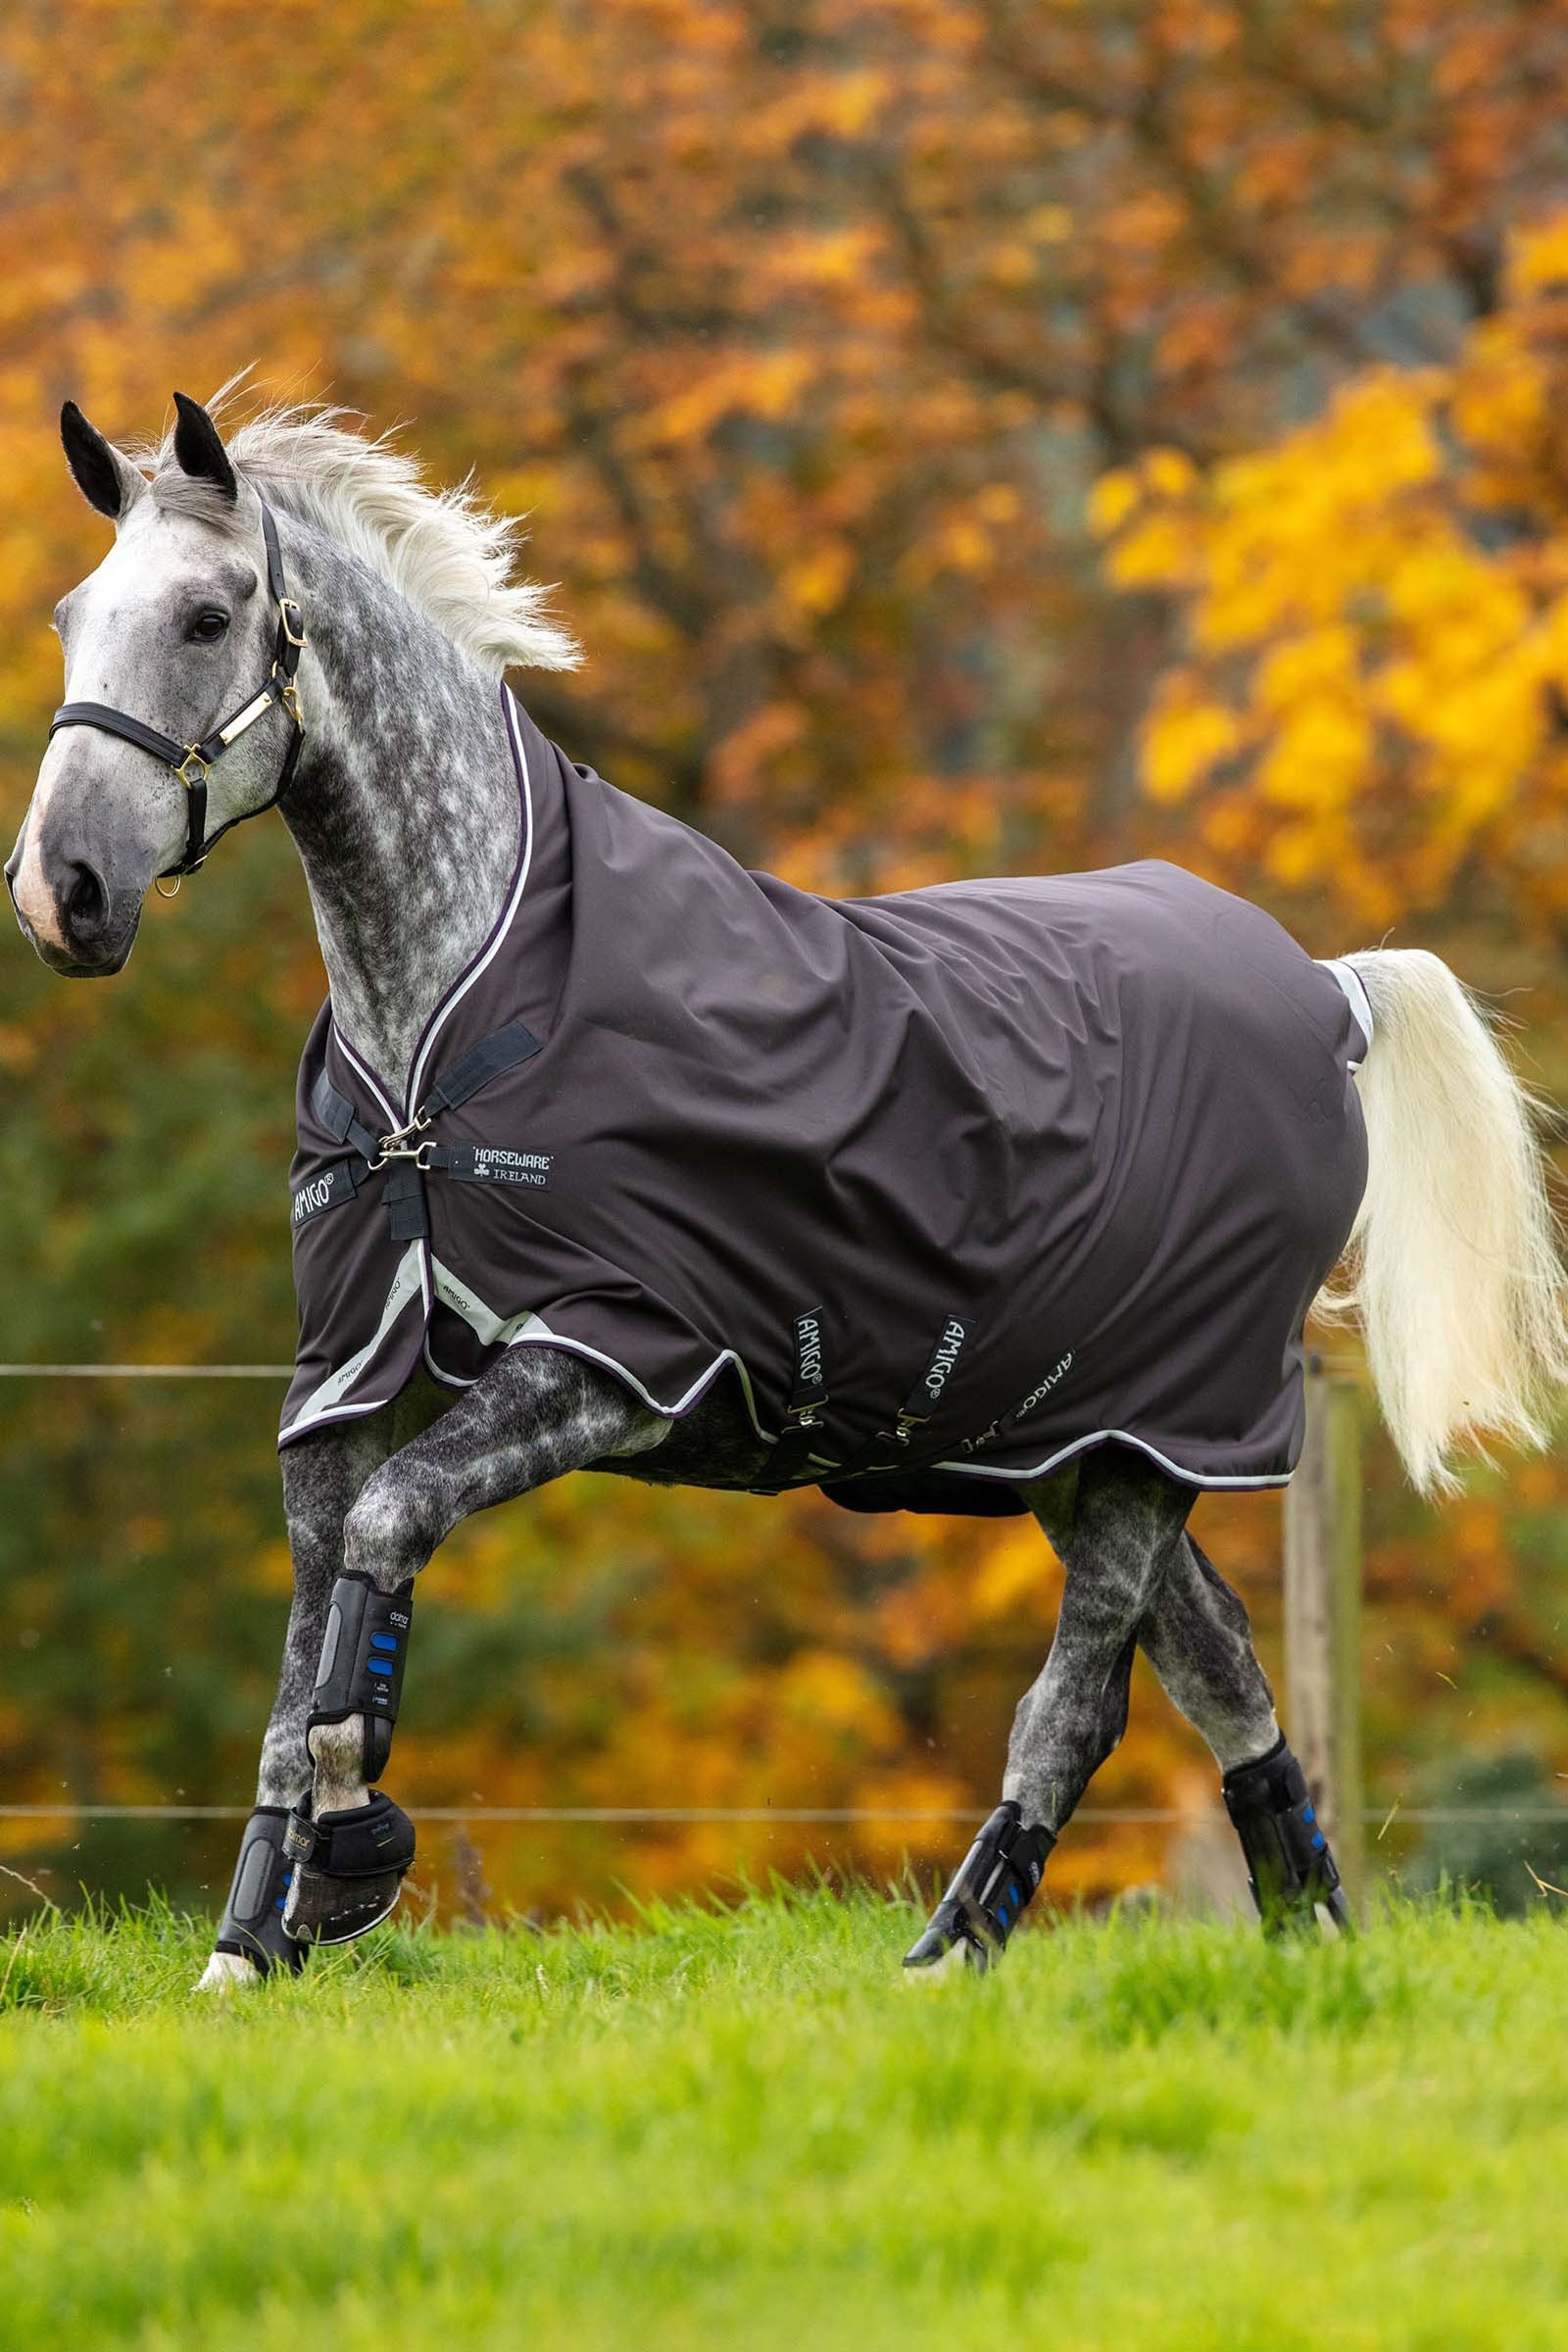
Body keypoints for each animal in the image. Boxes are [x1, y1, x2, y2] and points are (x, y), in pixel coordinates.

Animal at [10, 390, 1565, 1988]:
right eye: (71, 617)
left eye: (206, 616)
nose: (61, 892)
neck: (452, 1038)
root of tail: (1325, 989)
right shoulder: (342, 1381)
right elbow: (296, 1670)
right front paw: (252, 1947)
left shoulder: (610, 1359)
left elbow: (378, 1566)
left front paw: (350, 1869)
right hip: (1084, 1445)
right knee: (1222, 1666)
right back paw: (1308, 1933)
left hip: (1155, 1439)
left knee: (1078, 1707)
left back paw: (949, 1958)